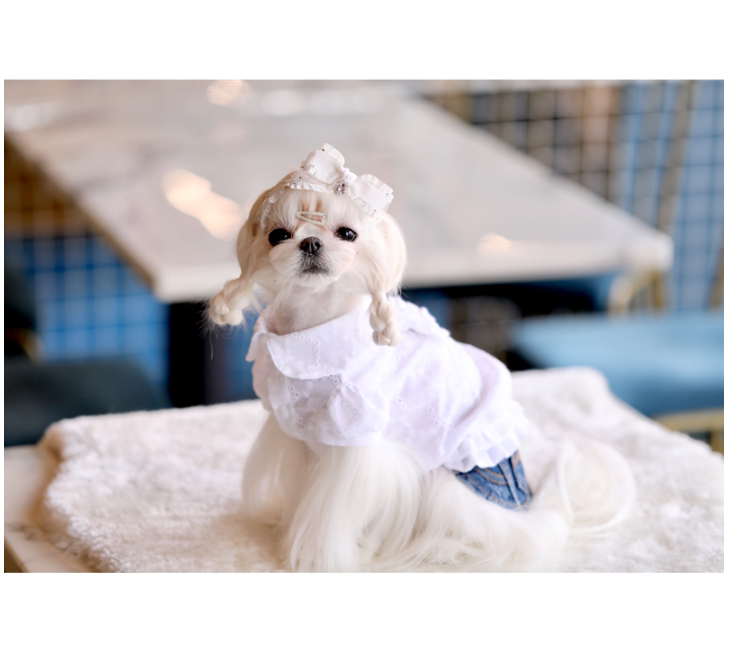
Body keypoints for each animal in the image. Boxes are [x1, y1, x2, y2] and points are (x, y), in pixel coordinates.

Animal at [210, 144, 634, 572]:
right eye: (278, 235)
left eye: (347, 233)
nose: (310, 242)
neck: (313, 323)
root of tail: (527, 510)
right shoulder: (302, 435)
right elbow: (303, 493)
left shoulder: (352, 442)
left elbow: (326, 516)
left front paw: (313, 559)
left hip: (449, 488)